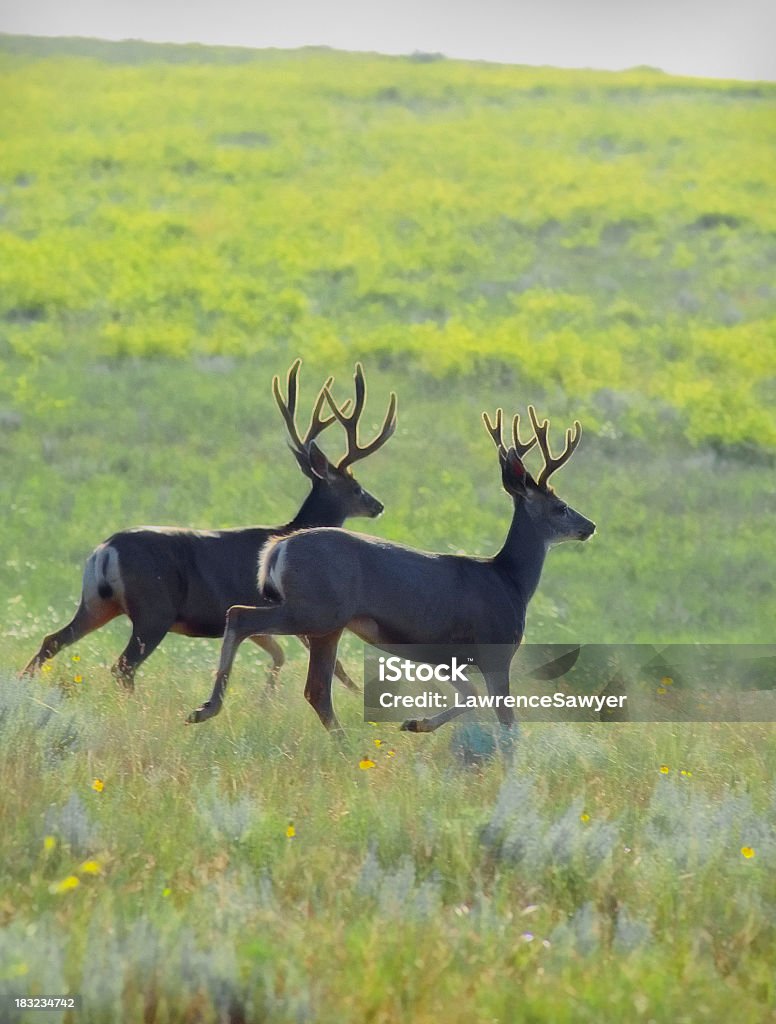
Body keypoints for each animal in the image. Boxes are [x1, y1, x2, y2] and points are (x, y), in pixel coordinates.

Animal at [21, 360, 397, 688]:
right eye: (355, 485)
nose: (378, 505)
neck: (290, 528)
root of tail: (105, 550)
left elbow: (278, 657)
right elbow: (332, 667)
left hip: (96, 603)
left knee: (52, 640)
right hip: (153, 609)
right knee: (123, 666)